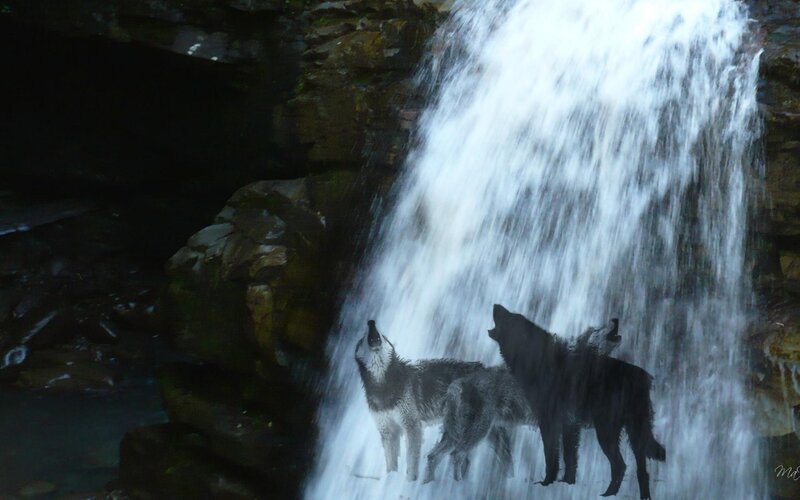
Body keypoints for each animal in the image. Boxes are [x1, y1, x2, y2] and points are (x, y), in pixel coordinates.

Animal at [355, 320, 483, 481]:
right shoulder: (388, 432)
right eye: (362, 337)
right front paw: (389, 480)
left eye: (383, 335)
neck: (383, 385)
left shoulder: (412, 426)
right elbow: (390, 464)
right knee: (462, 459)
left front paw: (410, 481)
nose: (371, 322)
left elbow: (411, 461)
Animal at [423, 318, 623, 483]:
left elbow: (568, 458)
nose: (615, 319)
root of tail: (456, 383)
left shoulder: (569, 426)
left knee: (433, 456)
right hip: (478, 432)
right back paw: (458, 486)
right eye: (597, 329)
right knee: (456, 455)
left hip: (463, 434)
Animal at [488, 305, 665, 500]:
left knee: (620, 465)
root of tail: (641, 375)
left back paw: (607, 495)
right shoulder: (570, 425)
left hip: (606, 432)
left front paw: (547, 484)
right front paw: (567, 484)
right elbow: (570, 459)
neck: (537, 360)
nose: (496, 305)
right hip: (634, 434)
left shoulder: (549, 422)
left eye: (511, 316)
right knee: (641, 470)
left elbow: (551, 457)